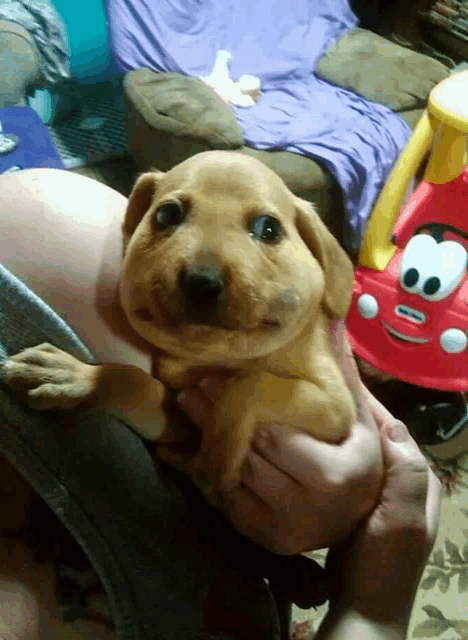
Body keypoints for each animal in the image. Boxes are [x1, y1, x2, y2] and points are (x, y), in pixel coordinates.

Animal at [5, 151, 356, 500]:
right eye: (167, 214)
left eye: (268, 228)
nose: (203, 282)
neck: (218, 359)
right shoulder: (176, 421)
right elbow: (135, 383)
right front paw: (78, 377)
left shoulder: (336, 408)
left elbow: (252, 383)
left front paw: (216, 460)